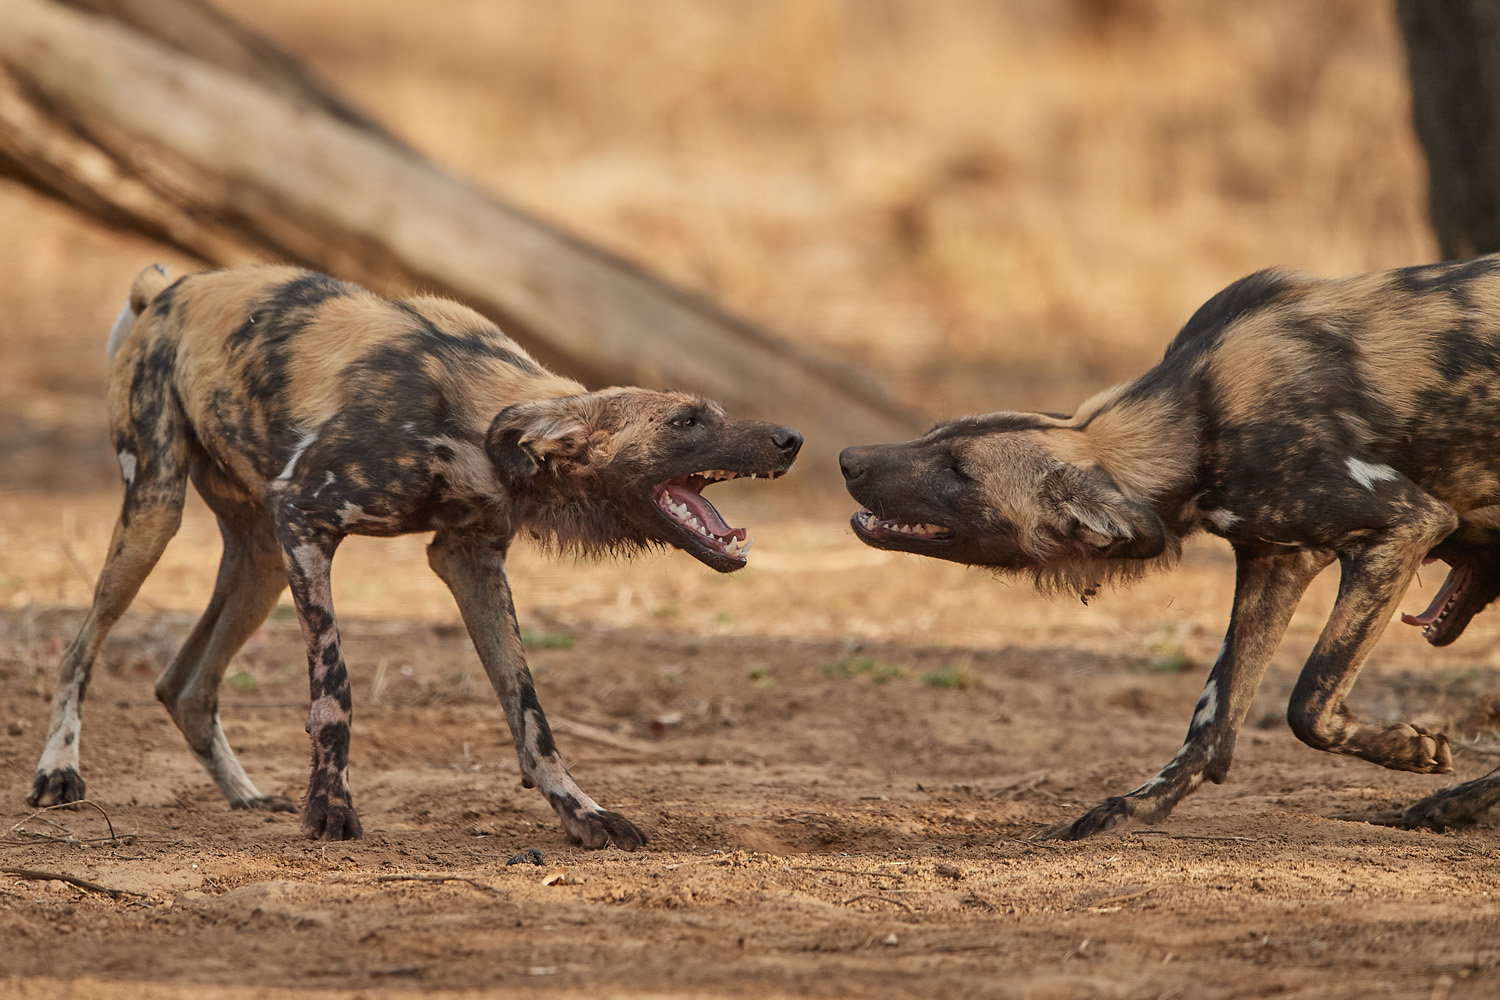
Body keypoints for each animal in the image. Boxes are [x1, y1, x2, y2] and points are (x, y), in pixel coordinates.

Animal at [29, 262, 804, 851]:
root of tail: (169, 287)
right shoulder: (305, 521)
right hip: (158, 512)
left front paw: (580, 813)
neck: (474, 425)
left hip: (259, 562)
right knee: (81, 648)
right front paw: (330, 810)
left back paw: (244, 795)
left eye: (713, 412)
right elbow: (334, 694)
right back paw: (58, 772)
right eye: (685, 422)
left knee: (184, 684)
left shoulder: (469, 561)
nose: (791, 438)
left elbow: (530, 715)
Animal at [840, 257, 1500, 839]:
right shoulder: (1276, 559)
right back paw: (1453, 806)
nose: (848, 459)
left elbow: (1306, 703)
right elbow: (1213, 720)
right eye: (933, 435)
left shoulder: (1407, 525)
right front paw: (1135, 809)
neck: (1195, 423)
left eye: (959, 472)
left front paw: (1409, 749)